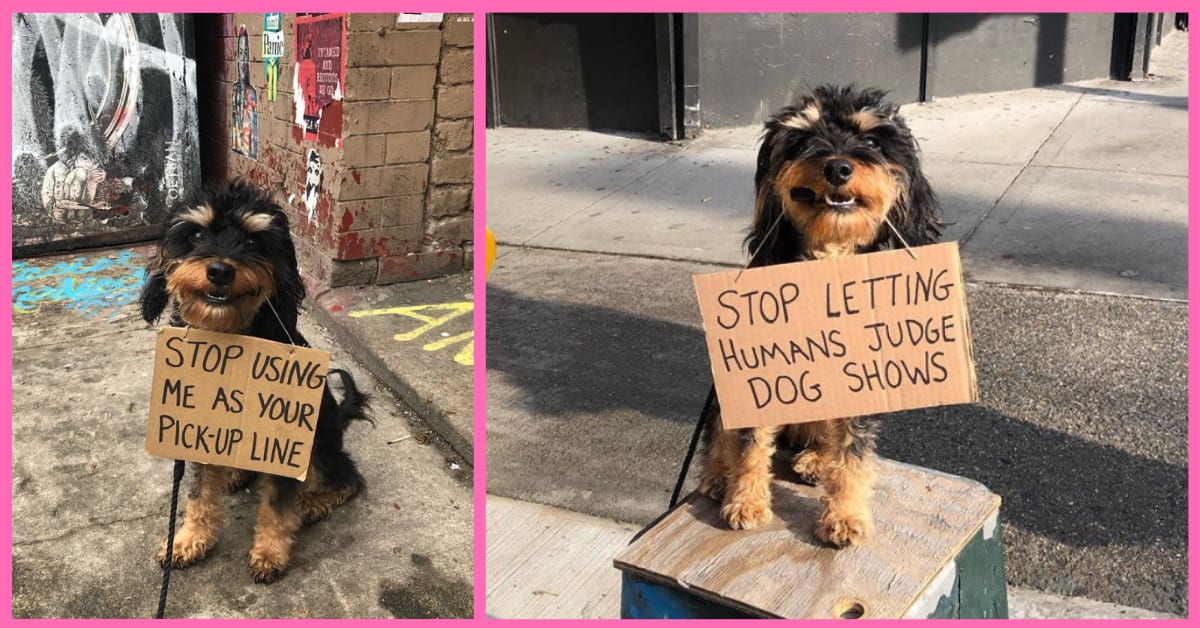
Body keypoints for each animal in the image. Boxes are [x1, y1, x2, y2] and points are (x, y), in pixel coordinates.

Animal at [139, 178, 367, 583]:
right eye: (197, 234)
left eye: (251, 241)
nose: (220, 270)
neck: (231, 339)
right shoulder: (200, 430)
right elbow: (199, 493)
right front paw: (187, 541)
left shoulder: (284, 438)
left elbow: (277, 505)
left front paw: (270, 552)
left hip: (318, 445)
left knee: (347, 478)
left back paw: (311, 504)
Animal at [700, 85, 940, 547]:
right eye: (802, 140)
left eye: (871, 141)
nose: (838, 166)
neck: (828, 258)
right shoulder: (759, 373)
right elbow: (749, 442)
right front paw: (745, 500)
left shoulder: (861, 377)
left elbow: (853, 453)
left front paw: (845, 515)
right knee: (721, 430)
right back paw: (718, 475)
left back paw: (815, 459)